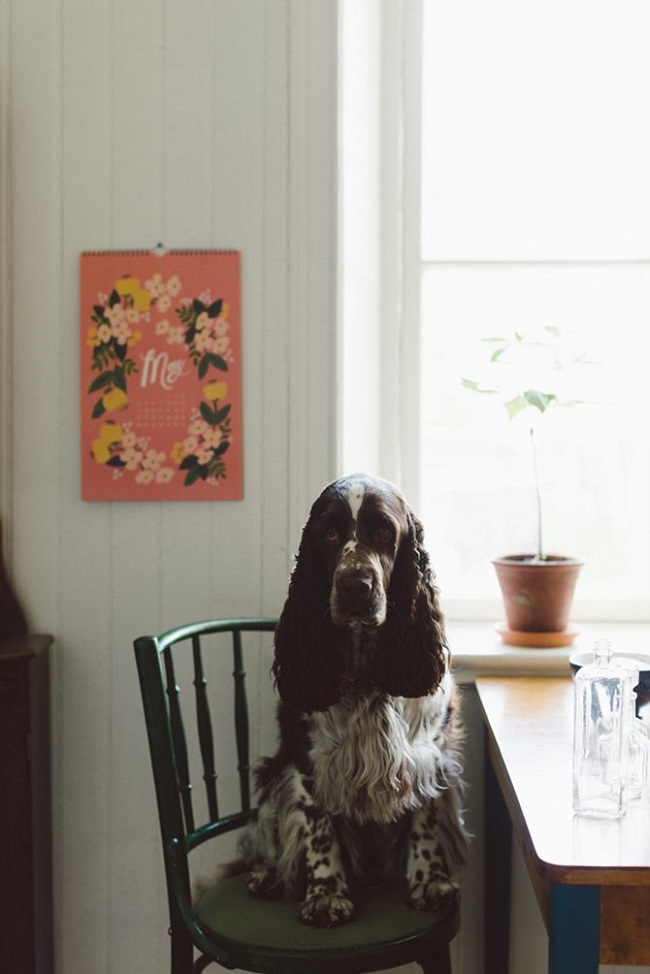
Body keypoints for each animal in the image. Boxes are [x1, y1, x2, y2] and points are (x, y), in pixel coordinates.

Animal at [238, 474, 466, 932]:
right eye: (328, 533)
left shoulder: (431, 752)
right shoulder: (307, 756)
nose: (354, 587)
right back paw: (267, 875)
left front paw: (429, 881)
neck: (365, 673)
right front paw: (326, 894)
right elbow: (319, 827)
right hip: (274, 775)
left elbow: (426, 816)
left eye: (383, 531)